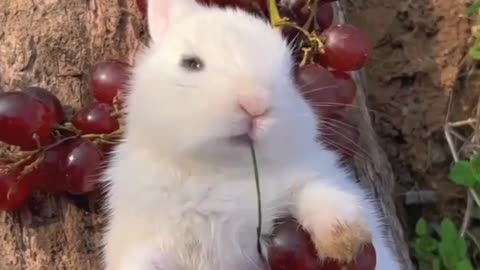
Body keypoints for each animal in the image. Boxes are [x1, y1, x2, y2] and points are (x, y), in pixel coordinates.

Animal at [99, 0, 404, 270]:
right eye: (190, 63)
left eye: (292, 74)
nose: (255, 104)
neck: (223, 171)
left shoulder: (316, 176)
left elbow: (322, 195)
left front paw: (344, 239)